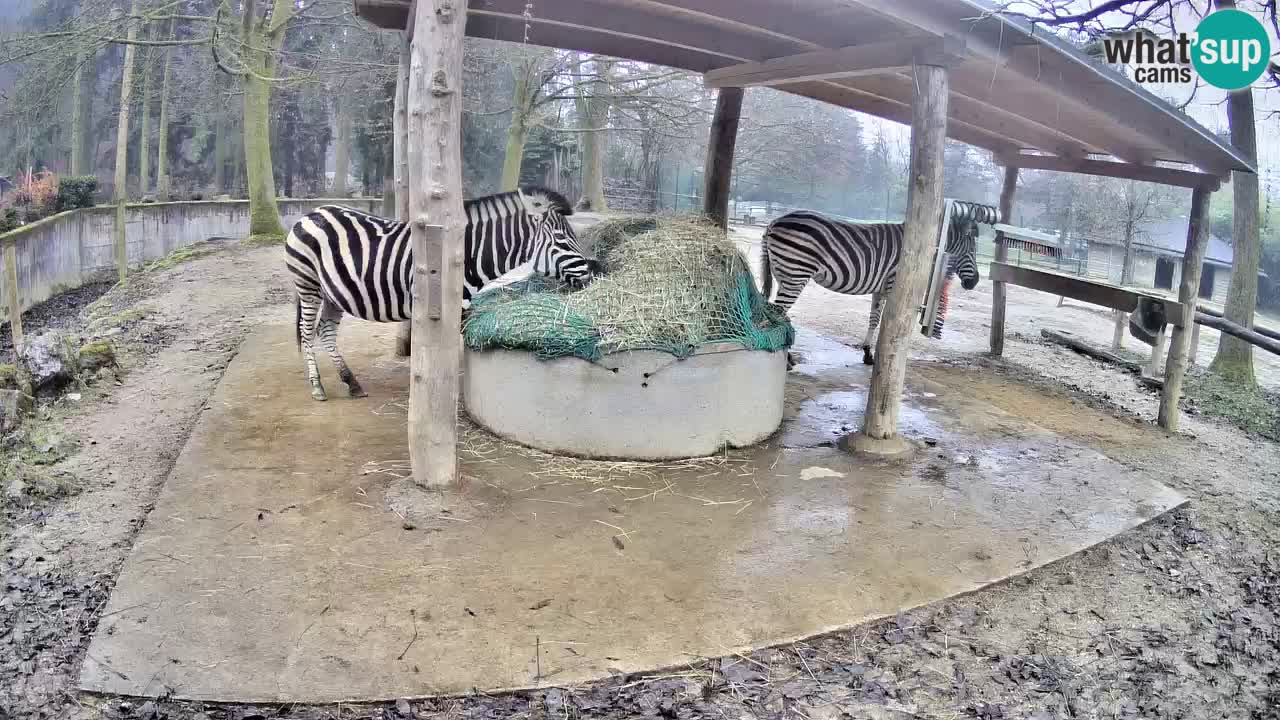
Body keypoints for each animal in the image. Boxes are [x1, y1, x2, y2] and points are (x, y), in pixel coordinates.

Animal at [284, 186, 598, 401]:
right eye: (561, 238)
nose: (593, 274)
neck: (465, 255)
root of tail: (311, 213)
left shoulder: (462, 307)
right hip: (308, 285)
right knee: (306, 333)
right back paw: (317, 386)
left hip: (333, 293)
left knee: (325, 331)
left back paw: (351, 382)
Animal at [760, 202, 996, 366]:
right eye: (971, 251)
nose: (974, 282)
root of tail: (774, 222)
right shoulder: (893, 284)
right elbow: (887, 322)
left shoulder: (880, 288)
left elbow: (874, 319)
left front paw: (867, 352)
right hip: (796, 273)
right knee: (775, 314)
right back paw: (787, 360)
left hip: (785, 275)